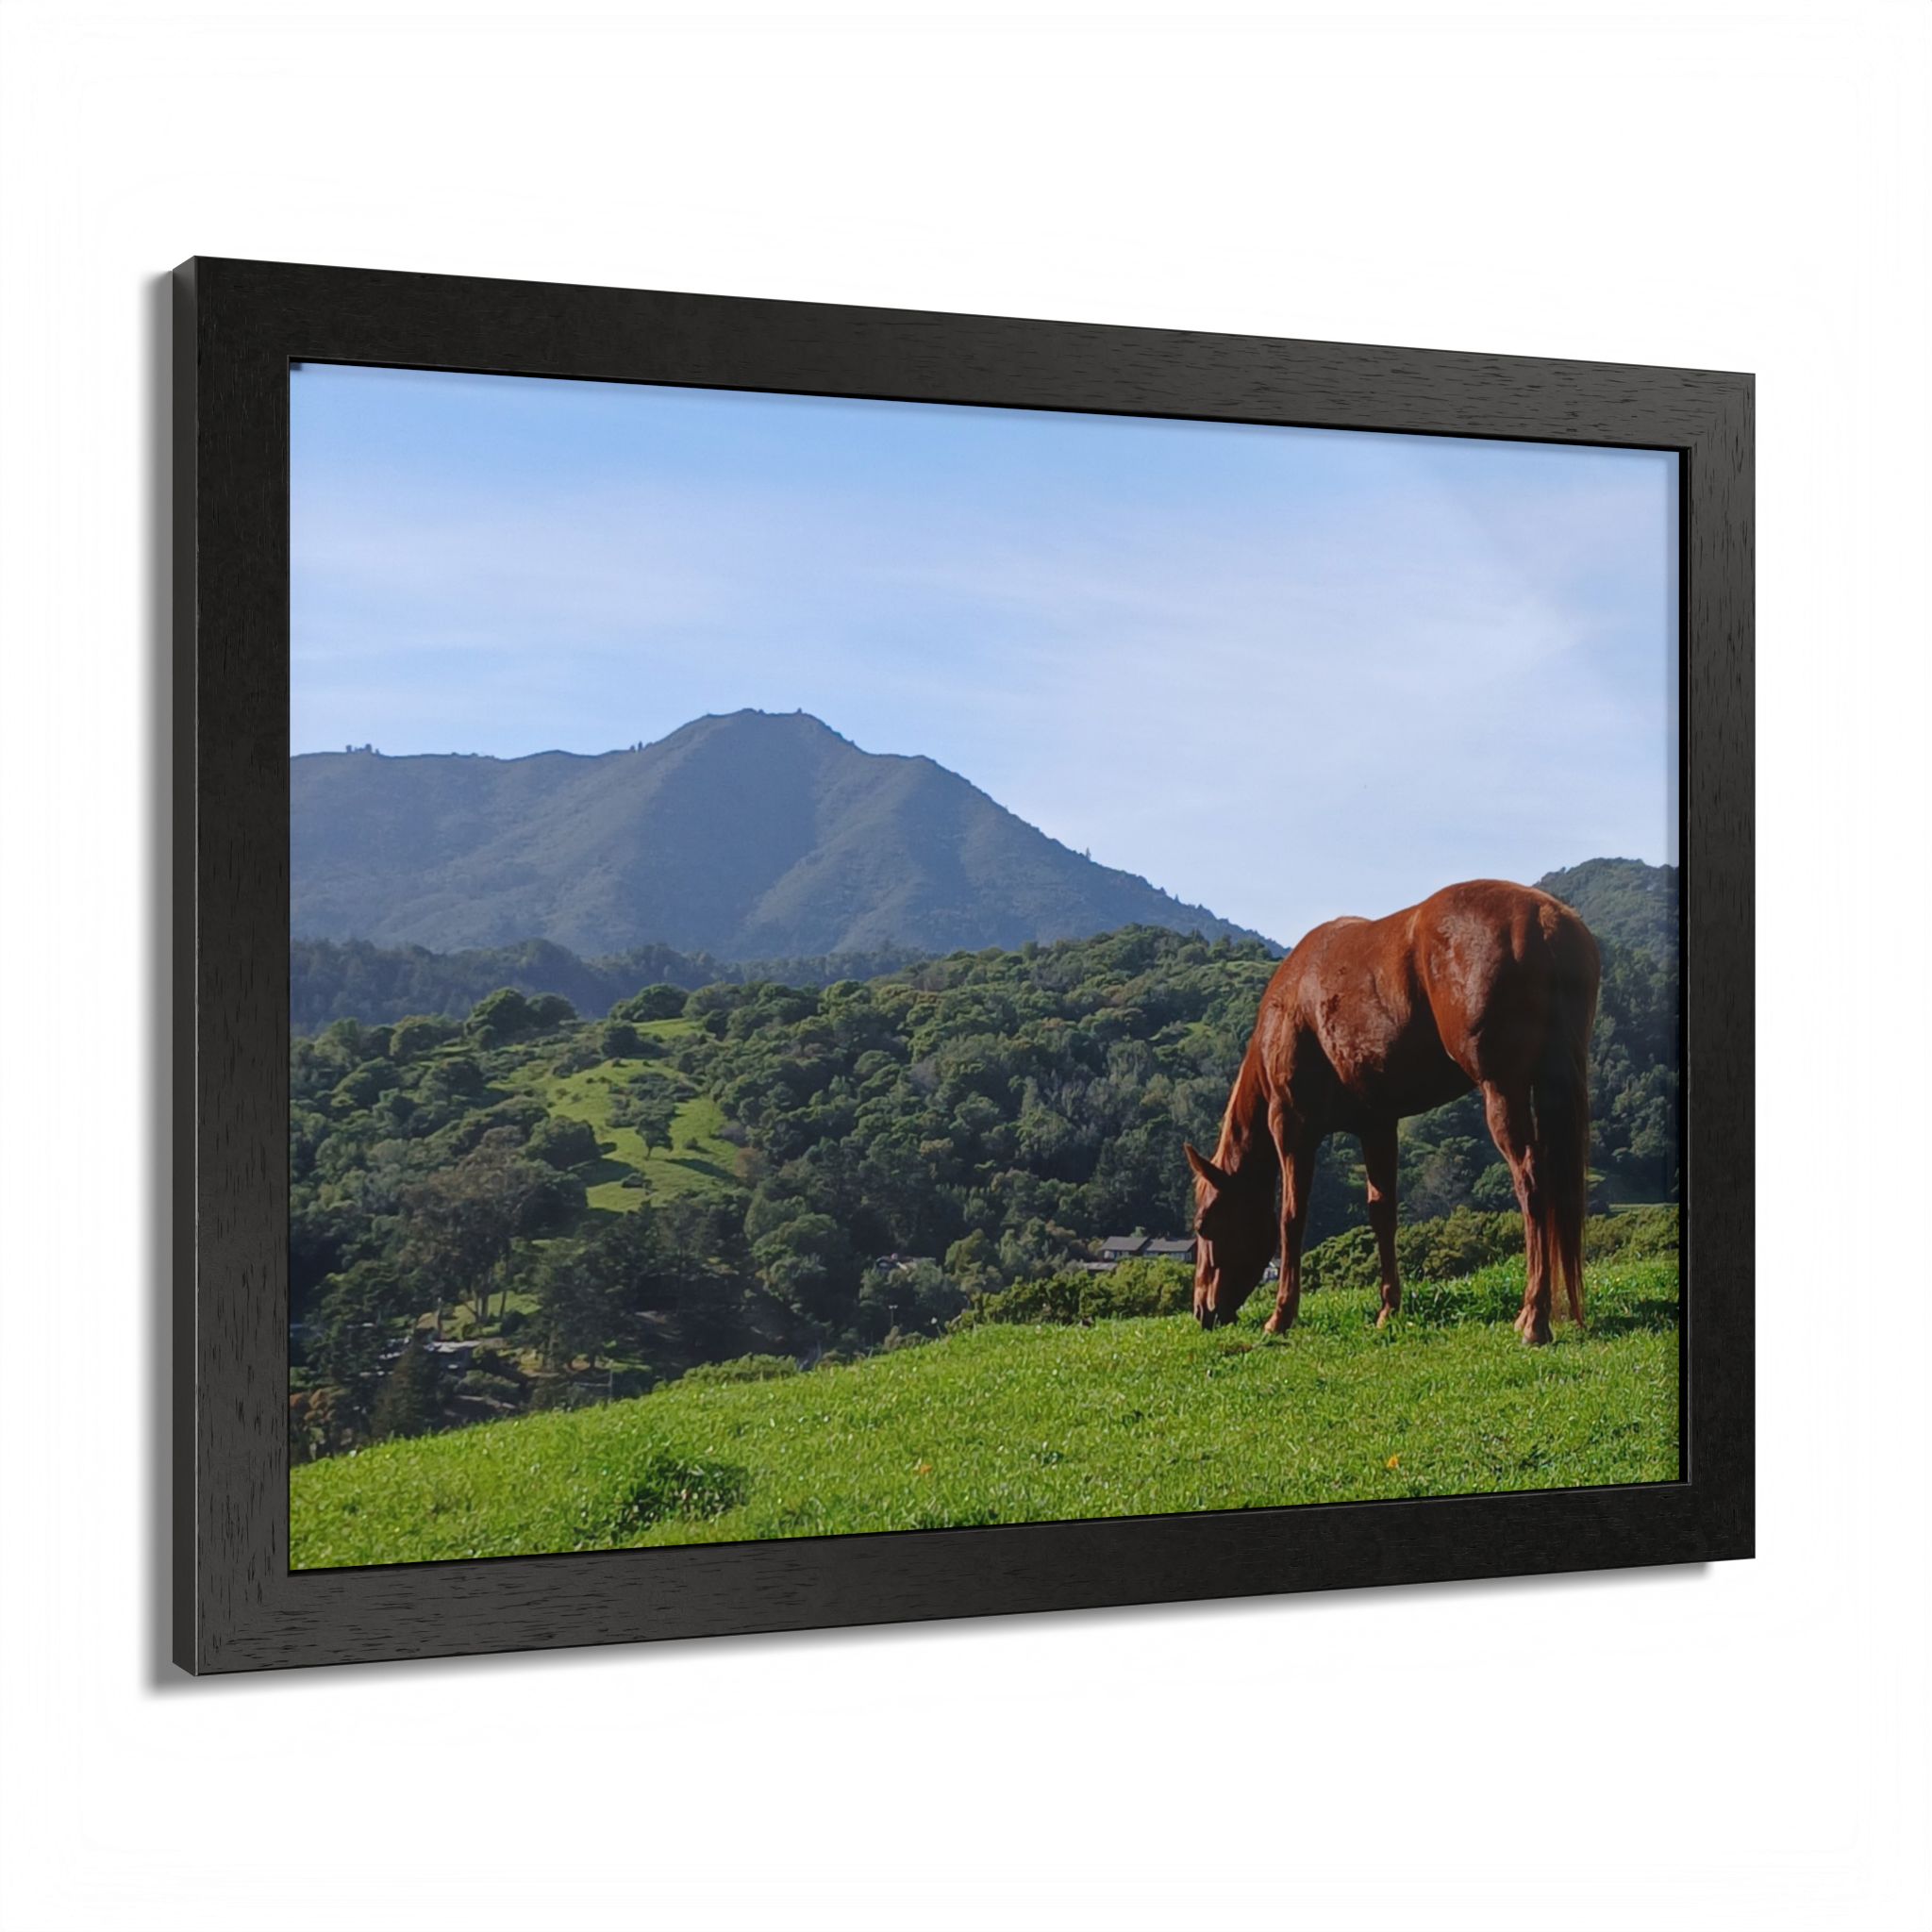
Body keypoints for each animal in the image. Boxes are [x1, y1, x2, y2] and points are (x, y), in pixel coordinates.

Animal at [1186, 879, 1600, 1346]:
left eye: (1204, 1224)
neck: (1290, 1005)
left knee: (1531, 1182)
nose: (1202, 1311)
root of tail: (1545, 918)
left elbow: (1292, 1218)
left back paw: (1533, 1317)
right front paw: (1389, 1308)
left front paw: (1281, 1315)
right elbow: (1382, 1213)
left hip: (1503, 1089)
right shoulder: (1377, 1125)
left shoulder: (1292, 1126)